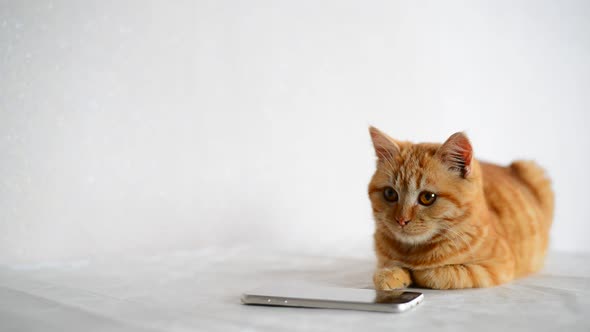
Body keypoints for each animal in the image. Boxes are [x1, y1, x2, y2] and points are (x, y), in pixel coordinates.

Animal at [370, 128, 556, 290]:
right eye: (390, 194)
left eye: (427, 197)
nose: (401, 220)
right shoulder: (383, 260)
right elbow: (384, 270)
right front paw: (390, 274)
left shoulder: (497, 266)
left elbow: (439, 274)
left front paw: (416, 273)